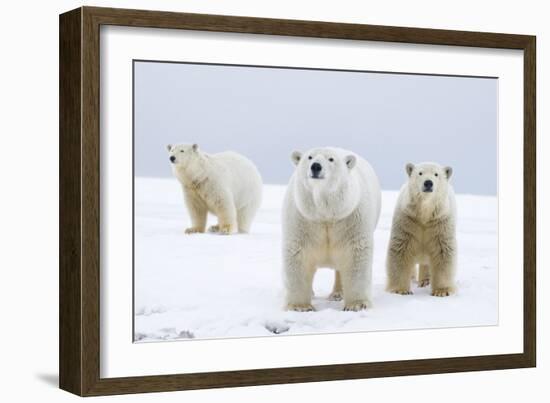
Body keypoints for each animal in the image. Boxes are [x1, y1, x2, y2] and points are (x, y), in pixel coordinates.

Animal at [282, 148, 382, 312]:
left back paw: (337, 294)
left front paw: (357, 304)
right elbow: (298, 253)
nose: (316, 166)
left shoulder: (350, 217)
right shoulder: (303, 218)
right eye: (309, 157)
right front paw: (301, 306)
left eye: (331, 159)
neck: (326, 214)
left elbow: (355, 254)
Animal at [388, 163, 462, 298]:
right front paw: (401, 290)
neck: (424, 214)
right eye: (420, 173)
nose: (428, 183)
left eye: (436, 174)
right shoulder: (408, 220)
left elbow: (442, 252)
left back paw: (425, 281)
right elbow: (401, 250)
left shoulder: (440, 223)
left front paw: (442, 291)